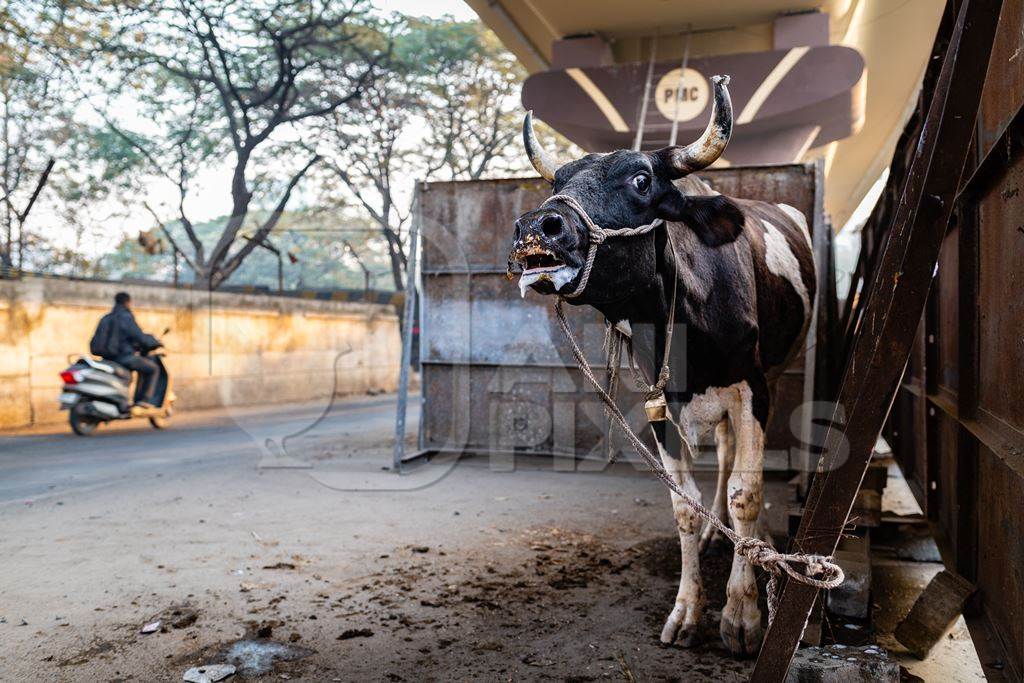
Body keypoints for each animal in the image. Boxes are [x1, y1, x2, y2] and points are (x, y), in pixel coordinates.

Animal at [505, 76, 815, 655]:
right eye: (558, 179)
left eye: (641, 178)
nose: (538, 226)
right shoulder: (659, 401)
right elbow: (684, 506)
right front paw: (688, 609)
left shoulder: (752, 389)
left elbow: (747, 493)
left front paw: (741, 615)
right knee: (723, 456)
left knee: (738, 468)